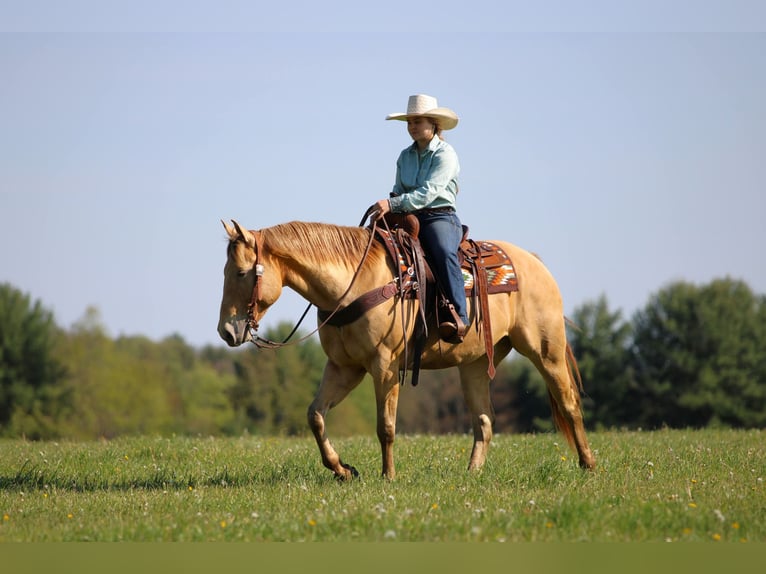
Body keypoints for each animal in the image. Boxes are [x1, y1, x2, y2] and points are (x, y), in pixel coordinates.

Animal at [218, 219, 596, 480]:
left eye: (241, 273)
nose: (226, 331)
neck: (353, 284)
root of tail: (533, 262)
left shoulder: (384, 365)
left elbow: (385, 426)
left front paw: (387, 476)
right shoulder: (344, 367)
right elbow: (316, 416)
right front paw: (342, 470)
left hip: (546, 351)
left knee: (569, 404)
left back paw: (587, 464)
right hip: (474, 365)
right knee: (484, 420)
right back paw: (472, 473)